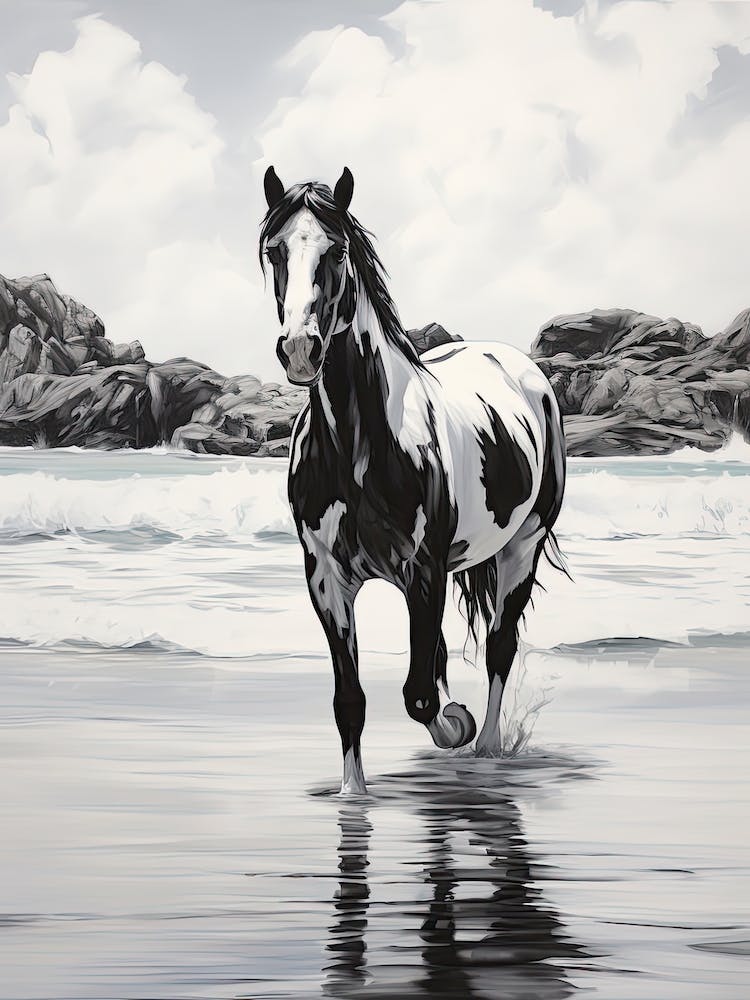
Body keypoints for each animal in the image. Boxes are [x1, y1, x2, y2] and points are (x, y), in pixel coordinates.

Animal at [260, 166, 566, 795]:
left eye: (337, 250)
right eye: (274, 251)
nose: (300, 350)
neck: (358, 447)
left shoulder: (424, 571)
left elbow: (421, 695)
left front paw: (457, 724)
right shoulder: (327, 579)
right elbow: (350, 701)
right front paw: (352, 795)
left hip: (521, 547)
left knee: (499, 647)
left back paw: (487, 747)